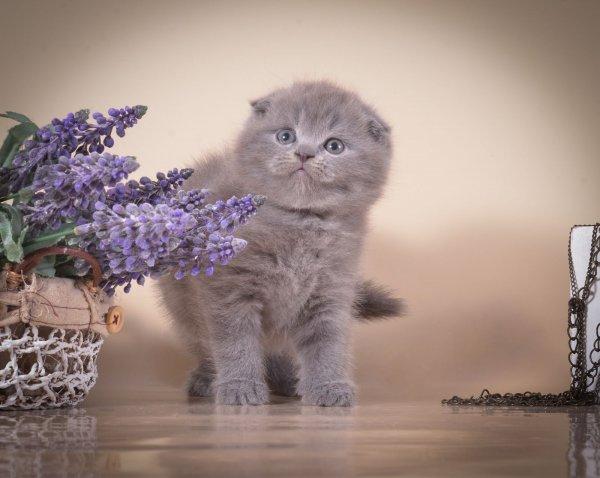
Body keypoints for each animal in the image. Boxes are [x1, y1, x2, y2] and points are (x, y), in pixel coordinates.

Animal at [159, 80, 404, 406]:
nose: (304, 153)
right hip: (180, 305)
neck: (300, 223)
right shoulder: (227, 286)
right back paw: (207, 379)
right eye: (286, 136)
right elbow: (234, 340)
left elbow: (328, 341)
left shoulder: (331, 288)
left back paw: (287, 378)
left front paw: (329, 386)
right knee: (202, 343)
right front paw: (240, 386)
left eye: (334, 146)